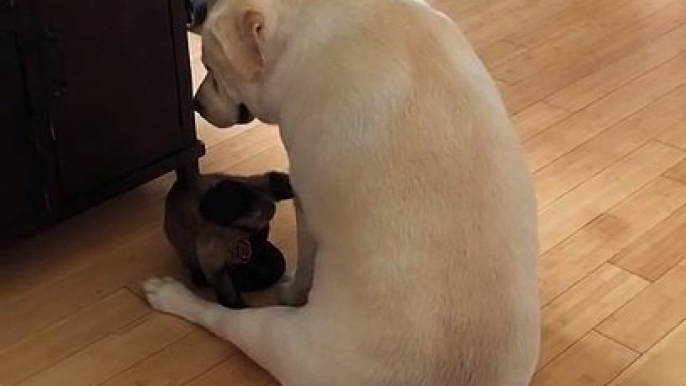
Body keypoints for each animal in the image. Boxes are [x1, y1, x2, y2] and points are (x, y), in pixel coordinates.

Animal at [146, 0, 544, 386]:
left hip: (274, 336)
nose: (195, 104)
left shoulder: (305, 201)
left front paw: (293, 291)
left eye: (211, 67)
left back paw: (169, 295)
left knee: (221, 318)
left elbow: (307, 264)